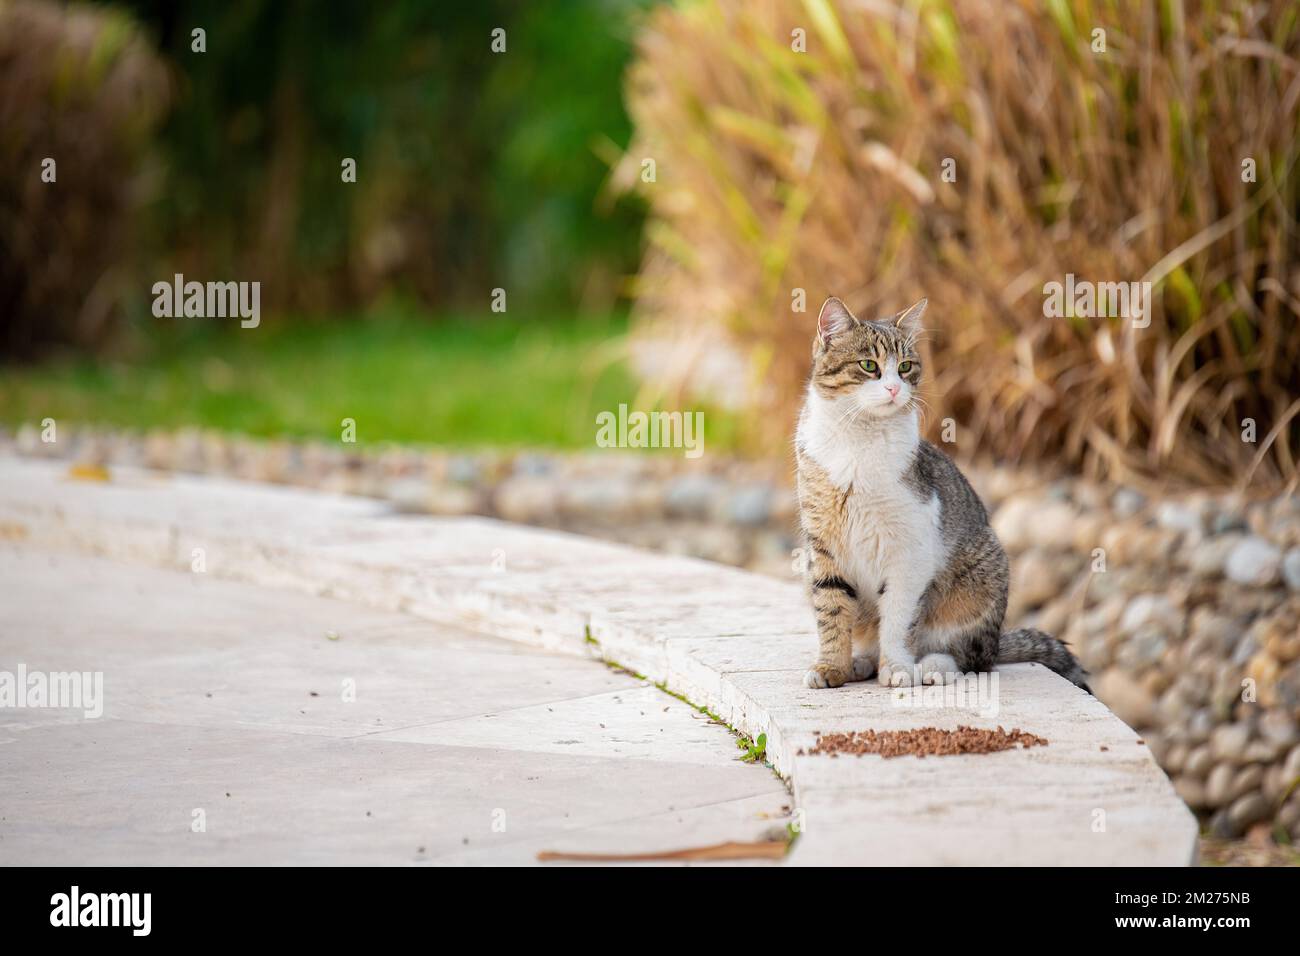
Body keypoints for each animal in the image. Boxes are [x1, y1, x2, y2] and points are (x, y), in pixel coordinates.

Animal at [795, 295, 1092, 691]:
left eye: (905, 367)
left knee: (972, 657)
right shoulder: (824, 546)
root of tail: (997, 641)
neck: (859, 440)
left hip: (981, 581)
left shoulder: (910, 551)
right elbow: (831, 610)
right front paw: (832, 666)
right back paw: (863, 661)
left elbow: (898, 619)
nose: (894, 389)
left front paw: (898, 667)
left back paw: (932, 666)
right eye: (869, 365)